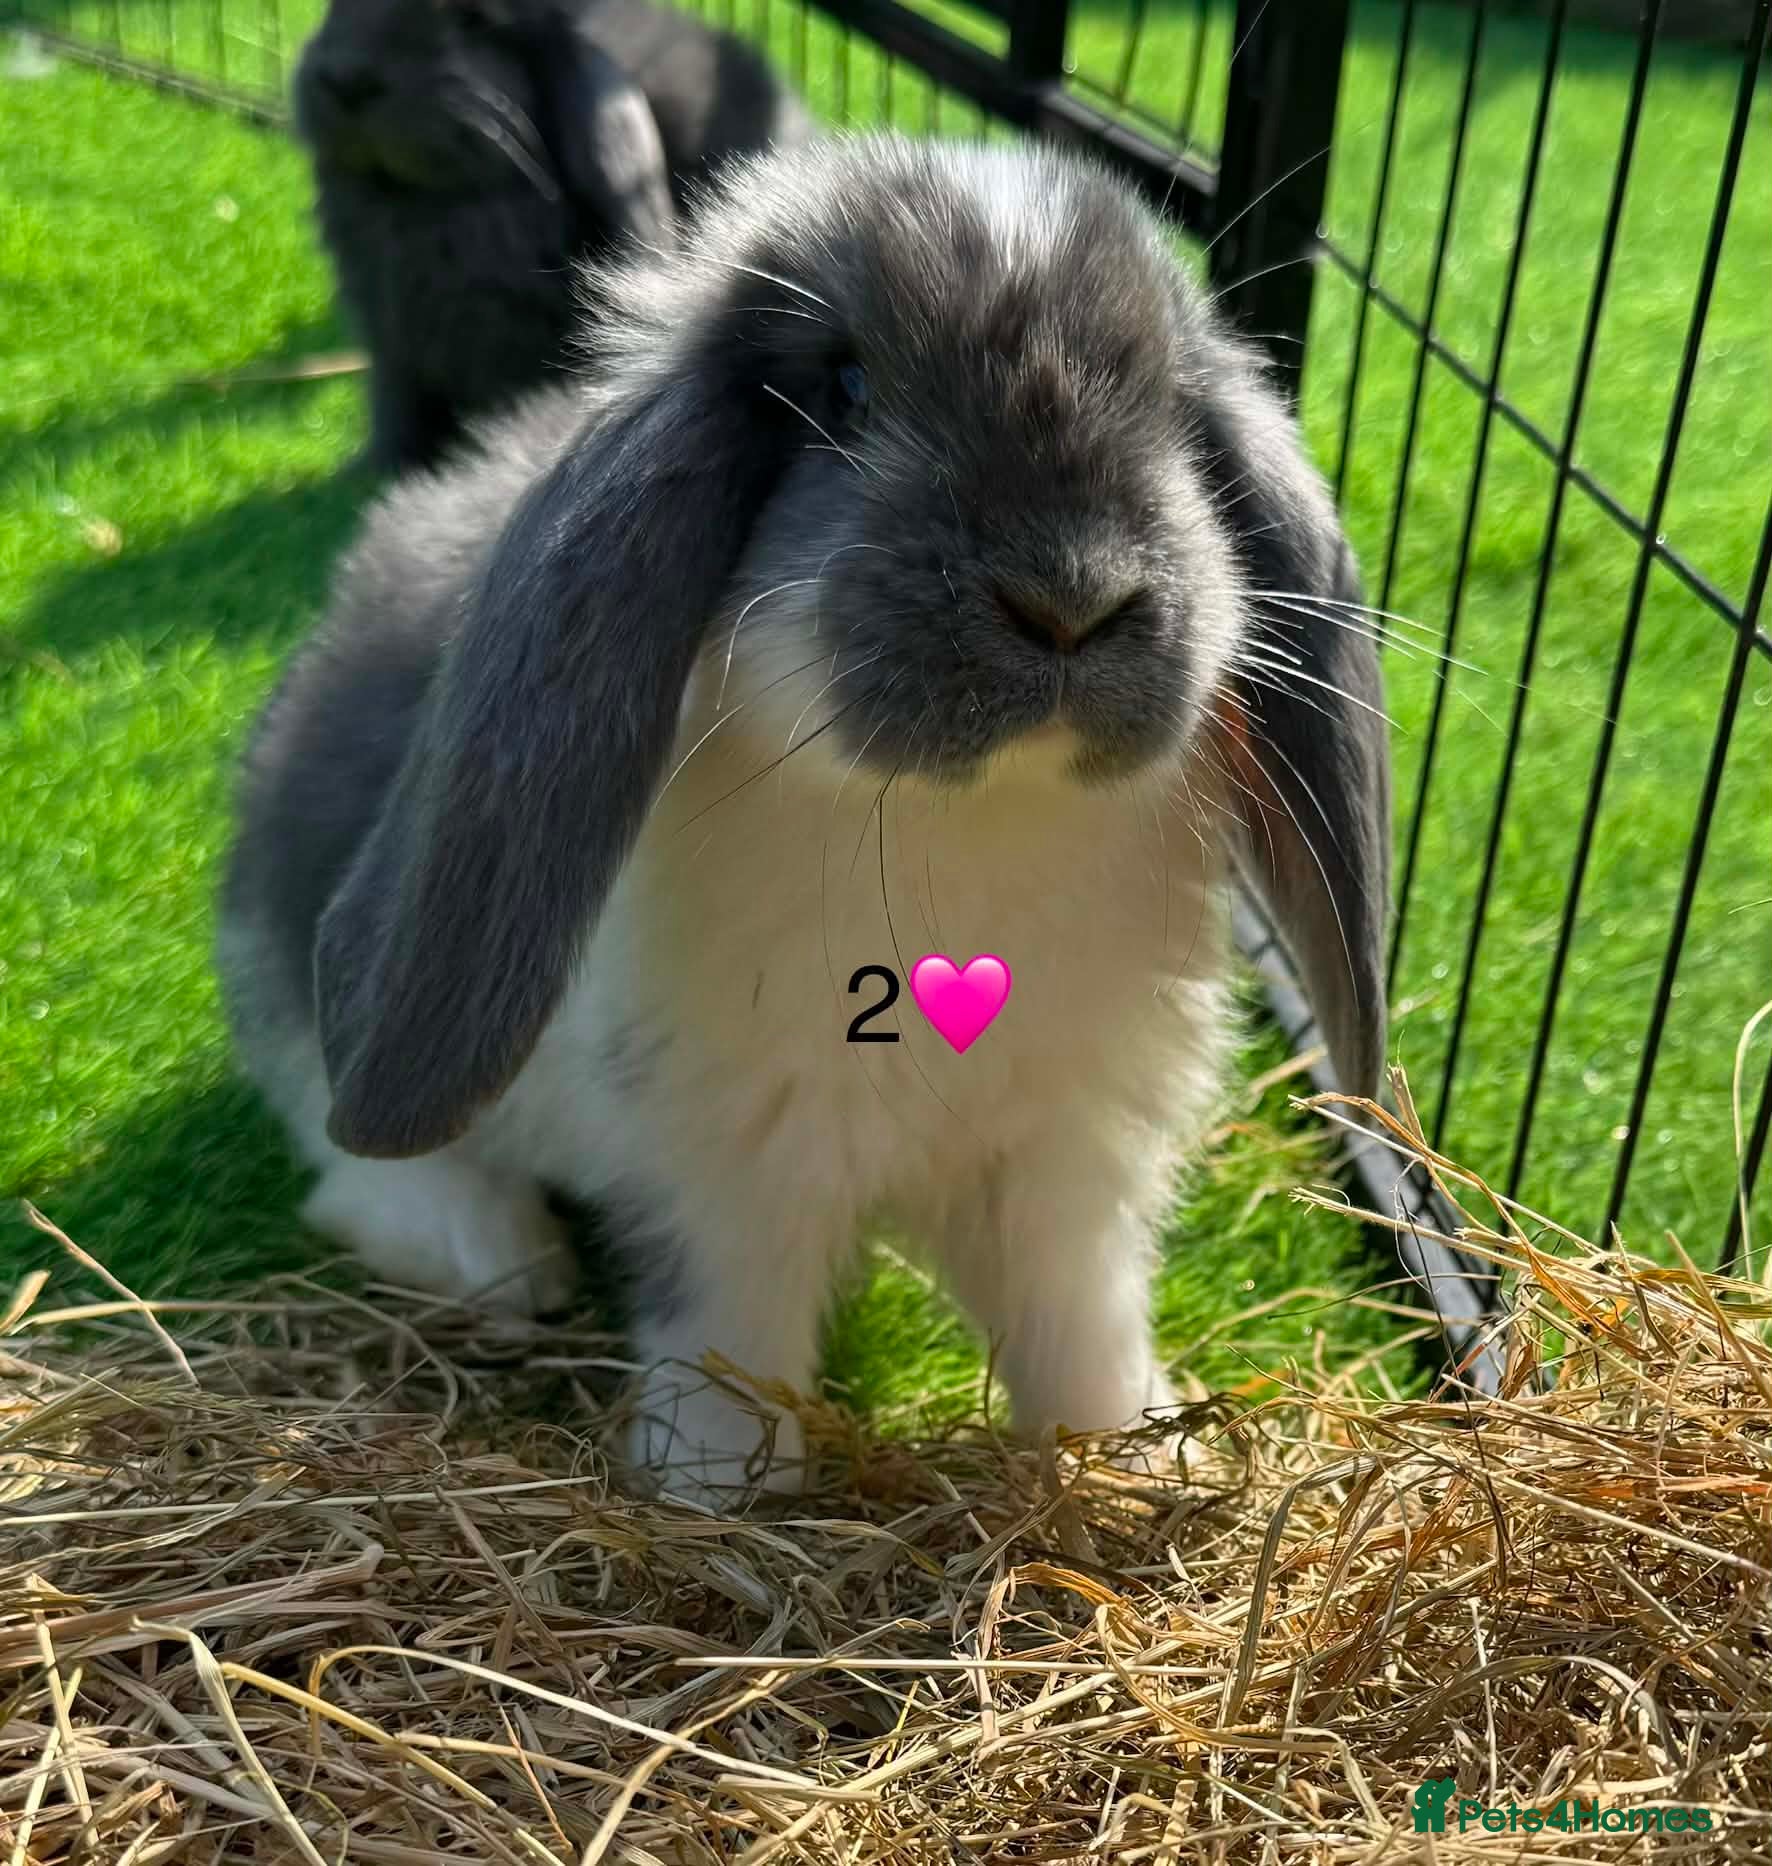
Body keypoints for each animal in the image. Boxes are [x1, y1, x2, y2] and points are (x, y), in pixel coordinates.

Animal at [217, 135, 1391, 1503]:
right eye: (841, 389)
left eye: (1172, 408)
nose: (1071, 598)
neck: (967, 824)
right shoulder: (729, 1172)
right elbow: (729, 1331)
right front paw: (711, 1492)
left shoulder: (1066, 1167)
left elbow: (1078, 1324)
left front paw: (1128, 1455)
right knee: (354, 1172)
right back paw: (501, 1259)